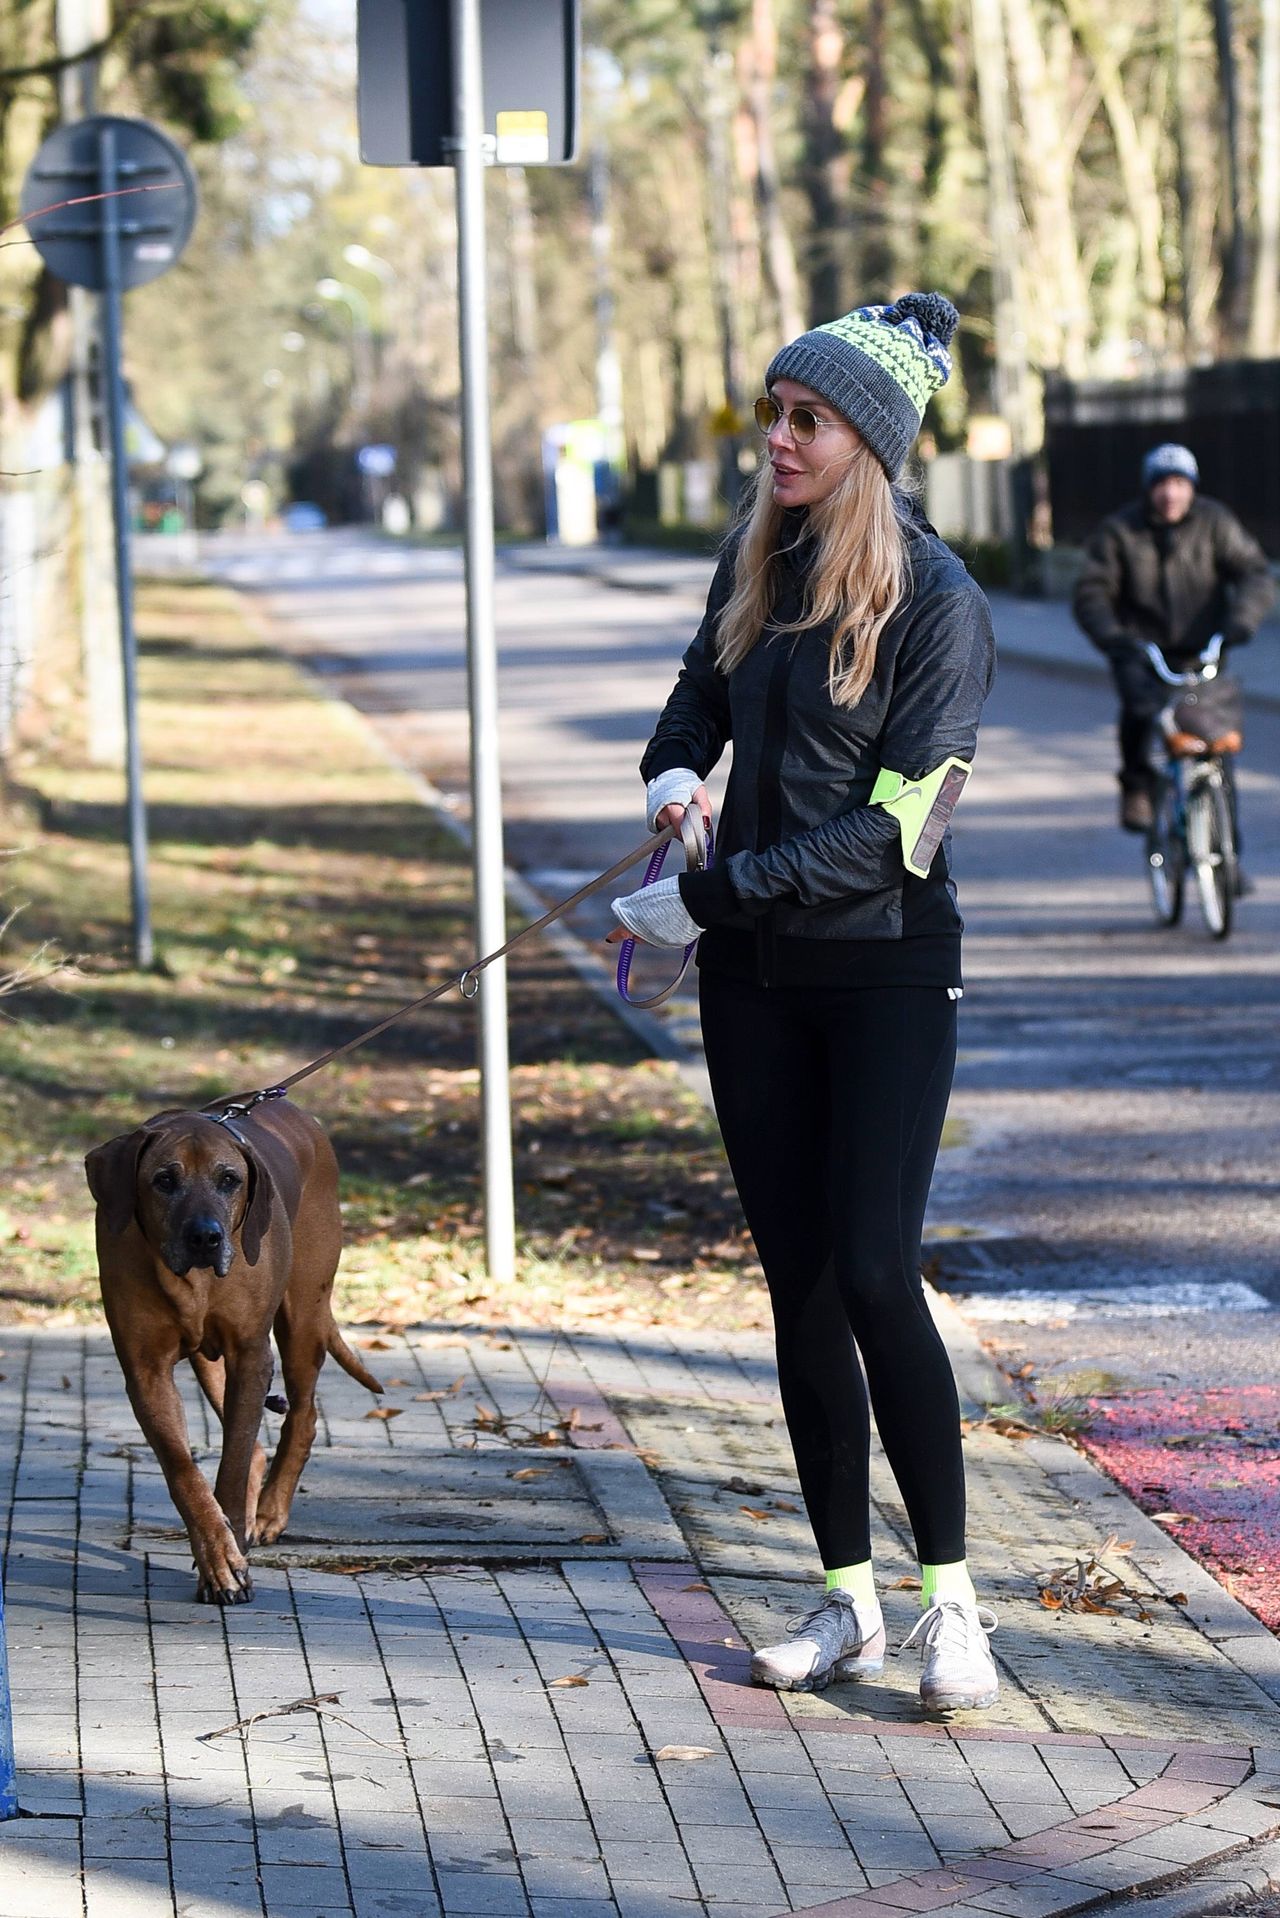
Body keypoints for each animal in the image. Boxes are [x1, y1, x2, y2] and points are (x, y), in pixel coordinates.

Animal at [86, 1097, 379, 1603]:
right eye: (164, 1180)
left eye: (229, 1180)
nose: (206, 1237)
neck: (191, 1281)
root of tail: (294, 1108)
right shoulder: (146, 1370)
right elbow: (183, 1470)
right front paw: (219, 1555)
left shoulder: (251, 1356)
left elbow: (234, 1462)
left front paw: (229, 1551)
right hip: (210, 1359)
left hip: (302, 1313)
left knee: (303, 1415)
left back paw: (266, 1513)